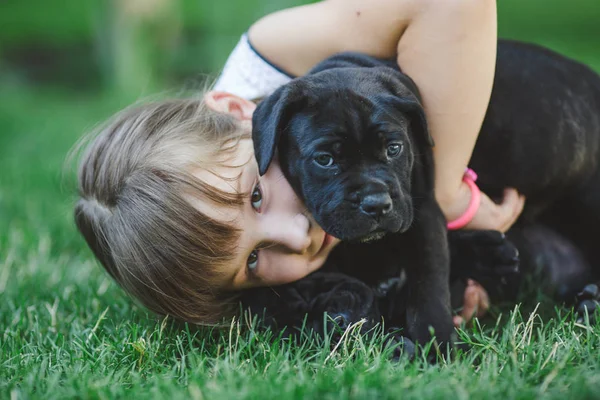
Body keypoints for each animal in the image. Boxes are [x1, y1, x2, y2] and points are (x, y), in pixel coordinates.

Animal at [251, 41, 600, 346]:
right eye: (325, 159)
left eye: (394, 148)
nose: (376, 205)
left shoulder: (423, 212)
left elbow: (428, 285)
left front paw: (434, 347)